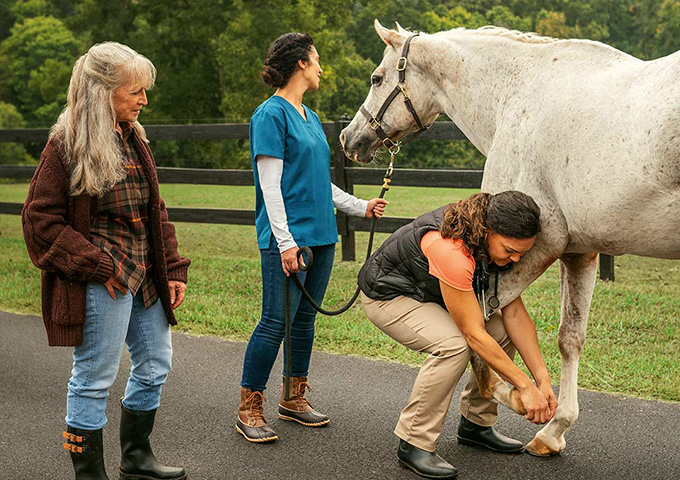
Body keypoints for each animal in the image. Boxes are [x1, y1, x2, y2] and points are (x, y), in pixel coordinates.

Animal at [340, 19, 680, 456]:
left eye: (377, 78)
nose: (349, 139)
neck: (517, 93)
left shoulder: (539, 247)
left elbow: (482, 329)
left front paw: (516, 396)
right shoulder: (580, 253)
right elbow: (569, 338)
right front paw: (554, 428)